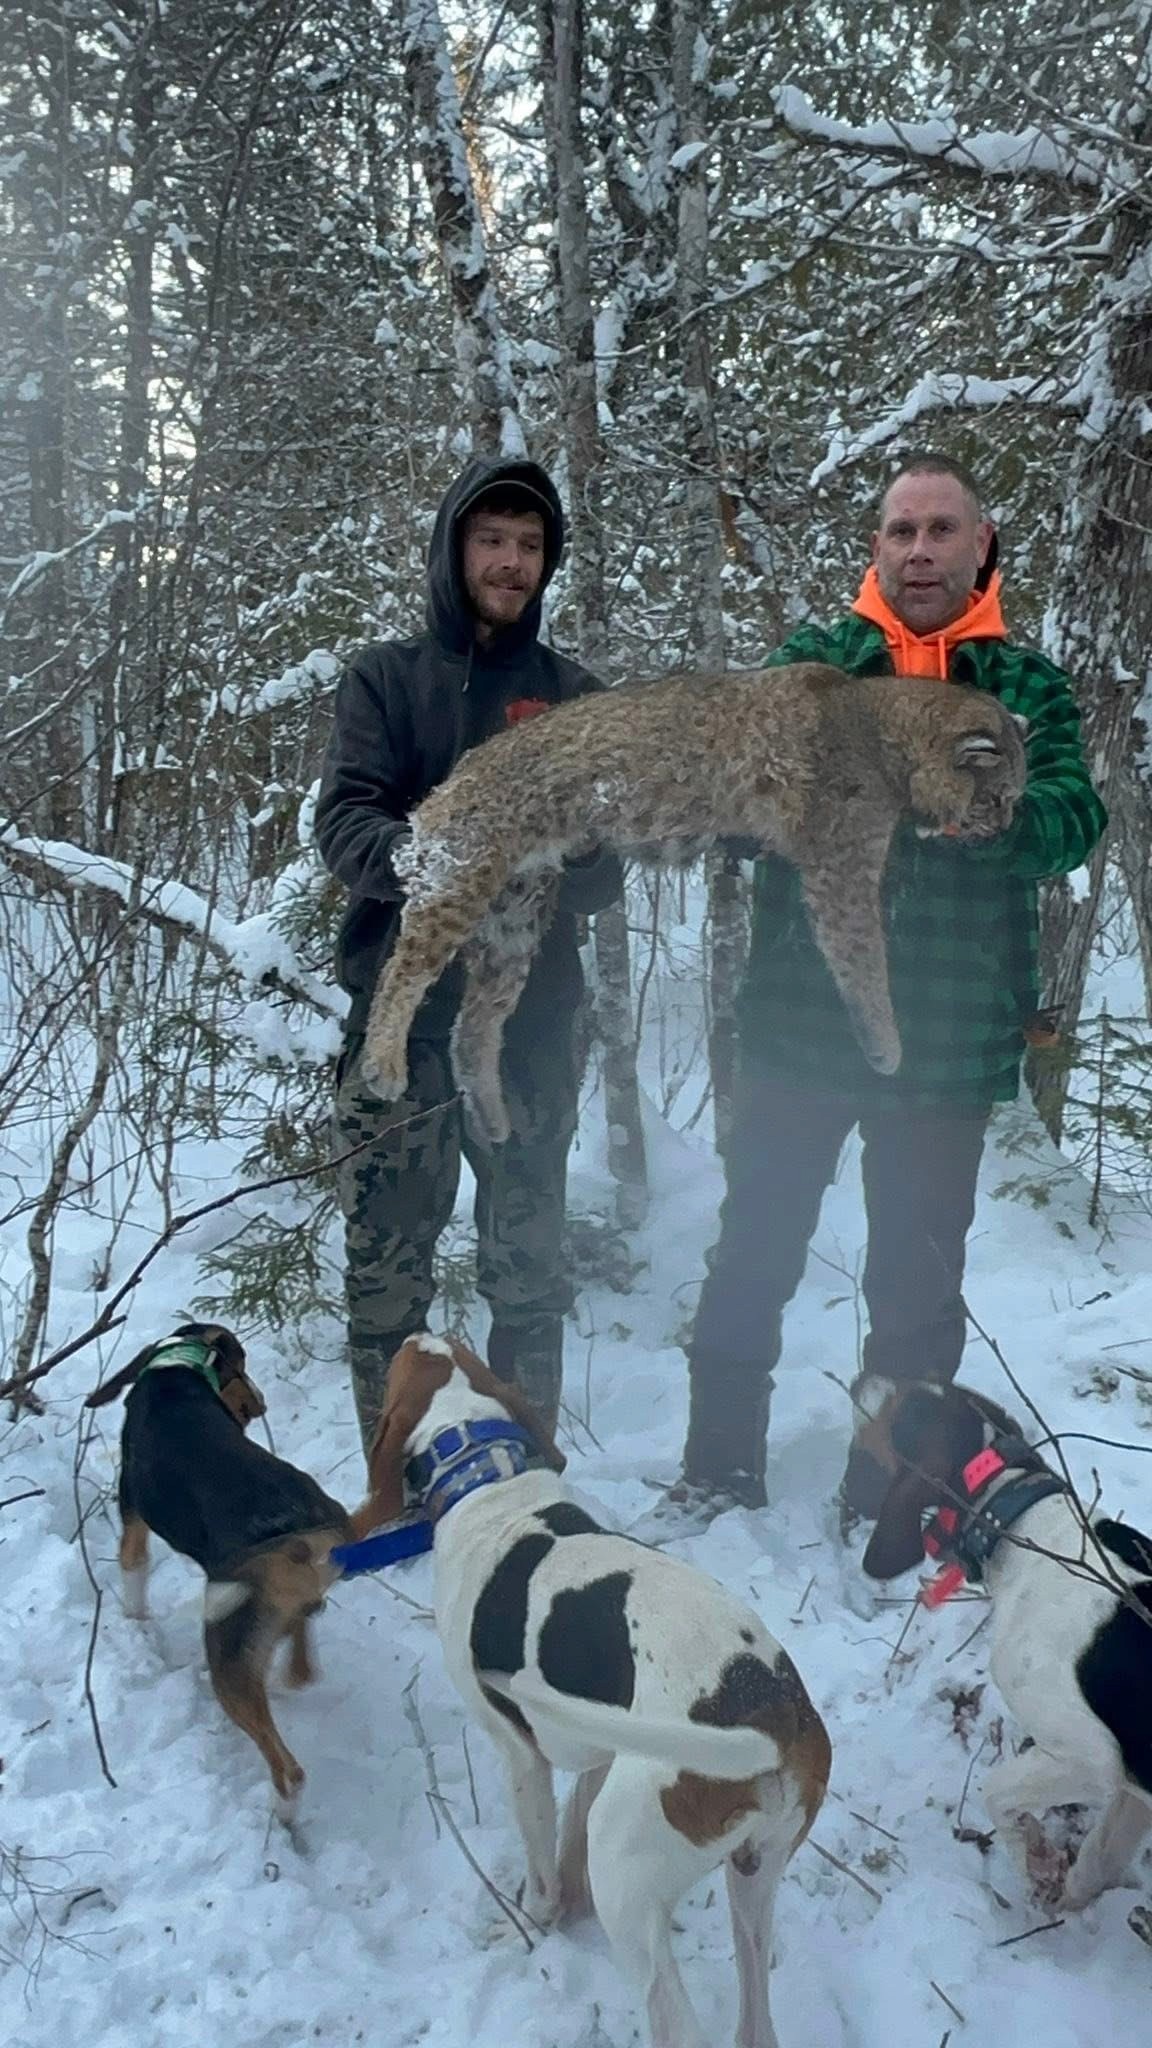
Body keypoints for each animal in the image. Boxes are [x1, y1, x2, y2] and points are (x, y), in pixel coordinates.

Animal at [86, 1322, 352, 1811]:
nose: (260, 1402)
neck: (177, 1369)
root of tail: (295, 1538)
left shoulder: (132, 1516)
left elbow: (134, 1576)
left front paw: (137, 1626)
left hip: (228, 1657)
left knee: (288, 1768)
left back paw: (283, 1813)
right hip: (283, 1611)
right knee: (301, 1663)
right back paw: (287, 1680)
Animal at [351, 1332, 831, 2048]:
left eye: (408, 1363)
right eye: (449, 1348)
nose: (414, 1336)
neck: (490, 1480)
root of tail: (773, 1711)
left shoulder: (521, 1757)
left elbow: (543, 1864)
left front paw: (535, 1922)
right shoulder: (600, 1749)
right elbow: (571, 1827)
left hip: (628, 1878)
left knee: (676, 2023)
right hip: (754, 1881)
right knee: (755, 2025)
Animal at [861, 1379, 1152, 1906]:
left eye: (897, 1406)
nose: (862, 1380)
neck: (1029, 1524)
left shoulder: (1091, 1758)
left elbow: (994, 1791)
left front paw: (1033, 1858)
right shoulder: (1134, 1786)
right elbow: (1096, 1862)